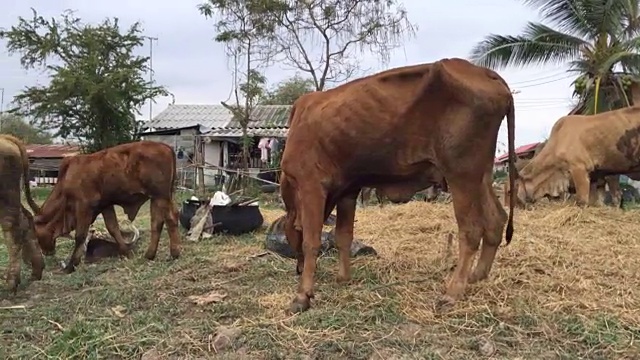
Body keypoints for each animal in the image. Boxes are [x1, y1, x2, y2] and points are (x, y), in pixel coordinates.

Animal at [0, 135, 44, 292]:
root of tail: (6, 137)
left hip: (7, 195)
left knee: (12, 226)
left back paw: (12, 280)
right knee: (26, 218)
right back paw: (36, 270)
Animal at [34, 141, 181, 272]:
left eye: (36, 234)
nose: (46, 252)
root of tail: (166, 147)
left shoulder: (84, 206)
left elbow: (80, 235)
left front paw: (71, 265)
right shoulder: (106, 205)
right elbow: (113, 228)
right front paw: (126, 252)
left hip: (161, 196)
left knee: (171, 218)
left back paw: (174, 254)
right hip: (157, 198)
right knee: (157, 223)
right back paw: (149, 255)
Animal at [282, 57, 520, 314]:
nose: (296, 269)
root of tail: (485, 73)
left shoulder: (311, 185)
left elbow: (311, 241)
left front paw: (302, 295)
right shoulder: (348, 190)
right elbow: (343, 236)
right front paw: (343, 278)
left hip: (461, 175)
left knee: (471, 230)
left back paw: (453, 292)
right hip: (481, 175)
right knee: (496, 219)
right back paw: (476, 276)